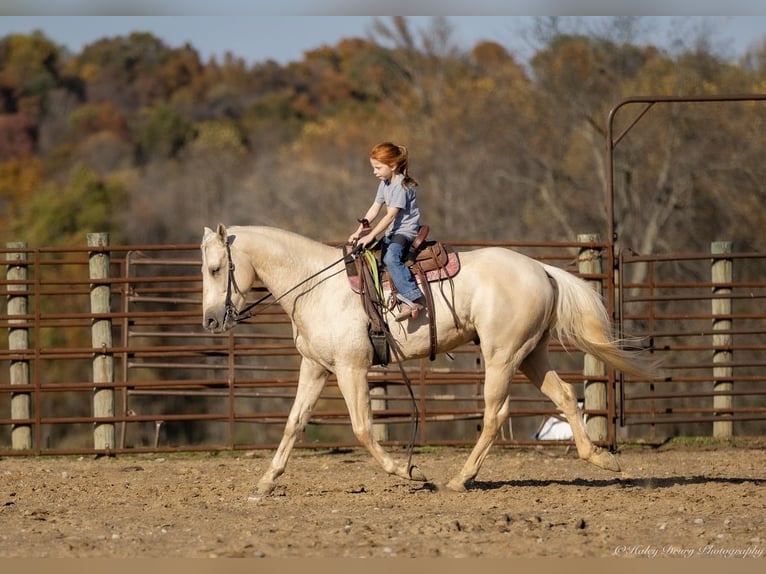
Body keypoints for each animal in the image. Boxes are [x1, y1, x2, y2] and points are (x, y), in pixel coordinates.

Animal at [200, 224, 653, 500]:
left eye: (216, 268)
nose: (210, 320)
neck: (317, 288)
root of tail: (541, 269)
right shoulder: (316, 367)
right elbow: (294, 424)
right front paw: (264, 483)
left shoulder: (350, 369)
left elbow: (363, 429)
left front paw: (408, 471)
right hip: (532, 353)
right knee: (565, 396)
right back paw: (601, 458)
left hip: (502, 356)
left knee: (495, 412)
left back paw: (460, 478)